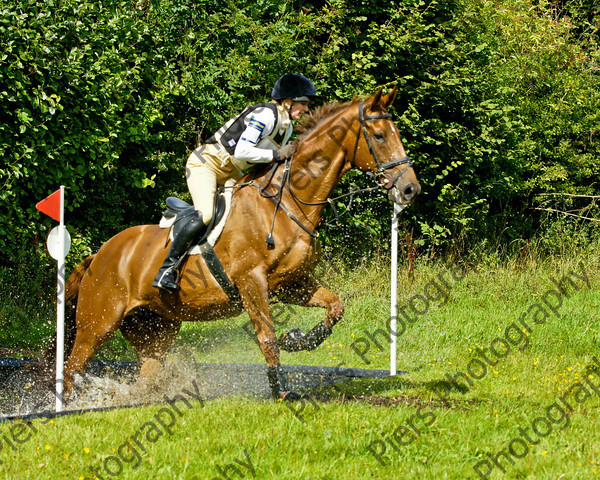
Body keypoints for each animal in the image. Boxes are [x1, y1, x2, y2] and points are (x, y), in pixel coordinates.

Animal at [59, 86, 418, 398]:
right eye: (379, 136)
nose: (410, 189)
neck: (287, 202)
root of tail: (98, 255)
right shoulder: (251, 281)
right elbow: (267, 337)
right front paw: (281, 391)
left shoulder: (292, 282)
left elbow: (335, 307)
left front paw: (298, 339)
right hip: (99, 322)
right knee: (72, 366)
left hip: (155, 327)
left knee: (144, 376)